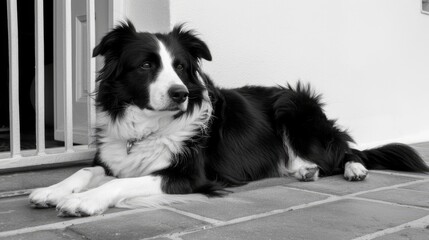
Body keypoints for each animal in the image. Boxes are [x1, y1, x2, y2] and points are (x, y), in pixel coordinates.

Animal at [28, 21, 426, 218]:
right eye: (145, 65)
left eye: (181, 67)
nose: (180, 94)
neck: (149, 125)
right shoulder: (114, 158)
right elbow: (86, 170)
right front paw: (50, 191)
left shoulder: (189, 175)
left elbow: (120, 184)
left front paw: (83, 202)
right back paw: (302, 170)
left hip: (294, 108)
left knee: (348, 151)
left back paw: (353, 169)